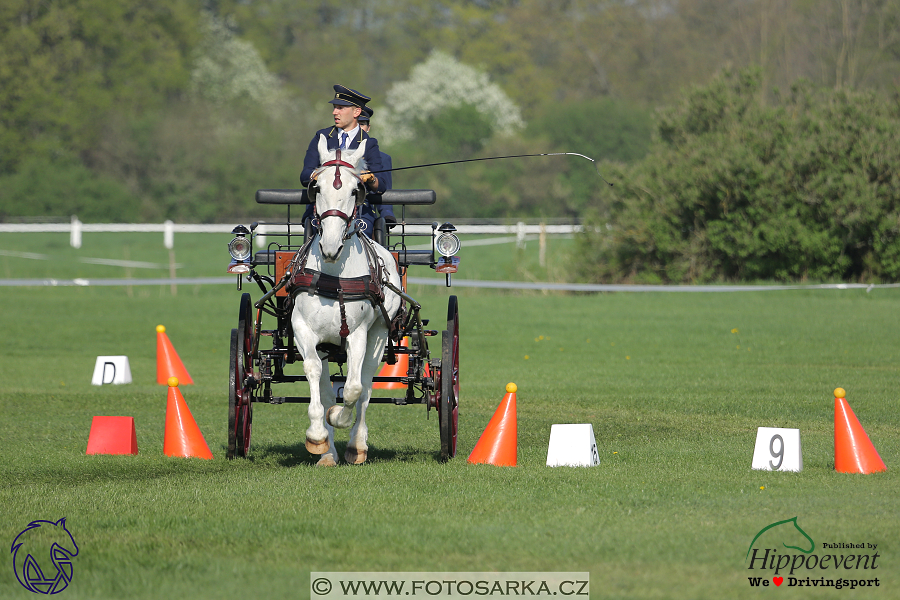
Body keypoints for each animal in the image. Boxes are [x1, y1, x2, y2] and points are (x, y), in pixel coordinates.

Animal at [290, 134, 402, 466]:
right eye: (316, 187)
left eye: (356, 190)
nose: (329, 246)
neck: (333, 276)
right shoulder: (303, 330)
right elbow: (314, 374)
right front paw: (318, 436)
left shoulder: (359, 334)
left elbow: (353, 389)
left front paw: (338, 418)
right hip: (327, 345)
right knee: (328, 386)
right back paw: (328, 451)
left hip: (379, 336)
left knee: (364, 386)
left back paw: (356, 445)